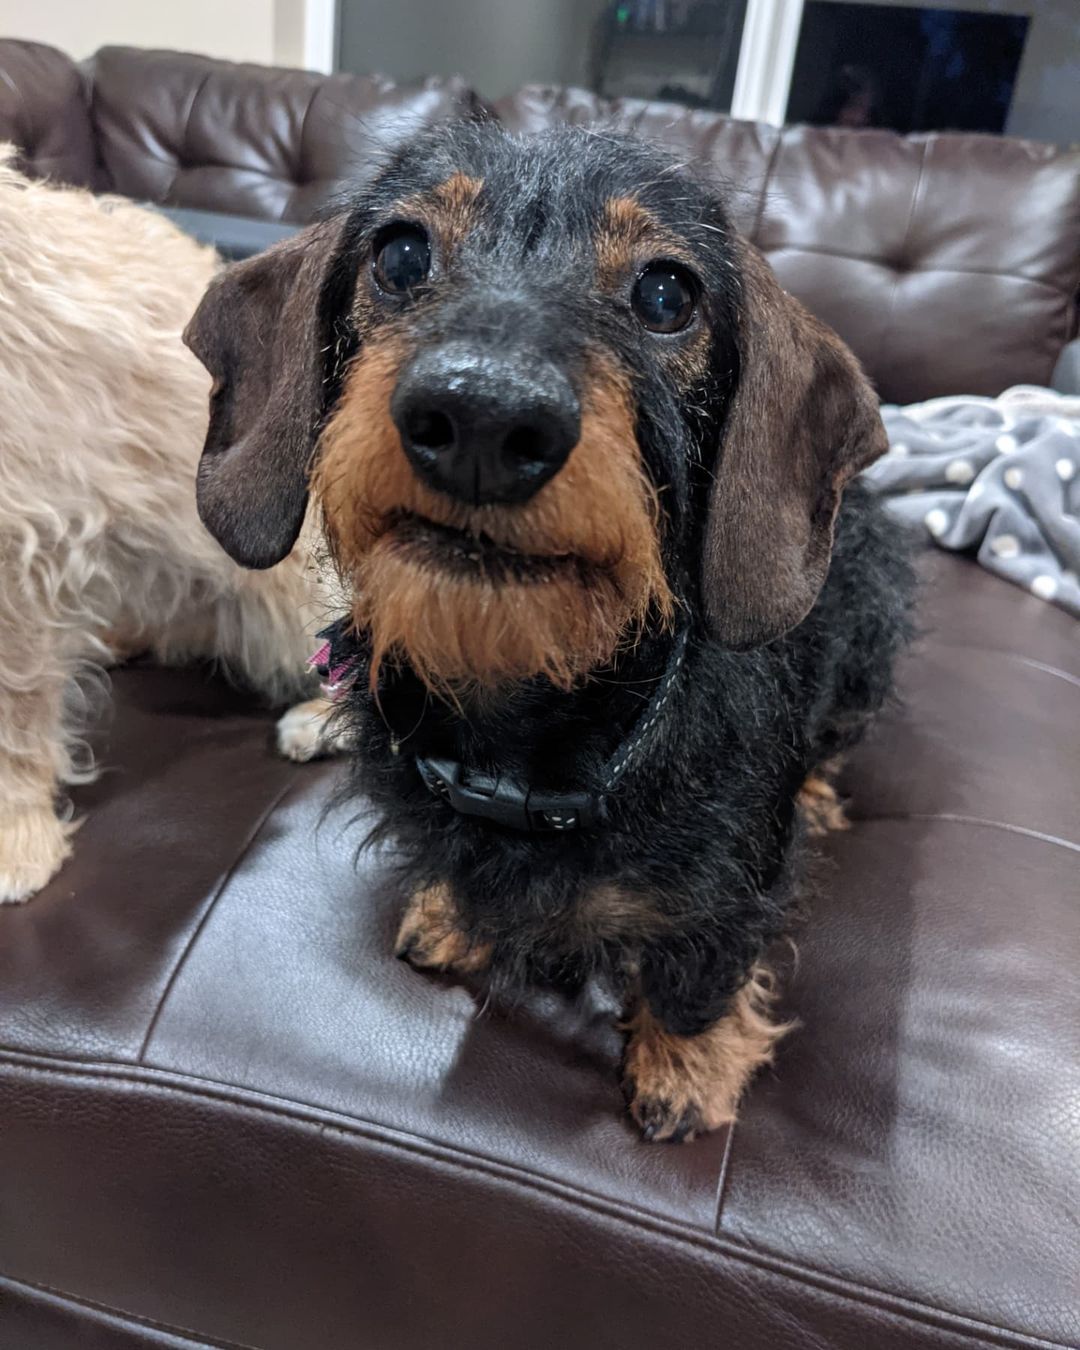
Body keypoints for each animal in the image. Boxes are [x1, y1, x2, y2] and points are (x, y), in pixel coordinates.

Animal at [183, 124, 912, 1139]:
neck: (526, 726)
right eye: (400, 256)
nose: (482, 417)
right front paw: (454, 914)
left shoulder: (732, 887)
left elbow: (703, 958)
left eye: (667, 294)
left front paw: (684, 1064)